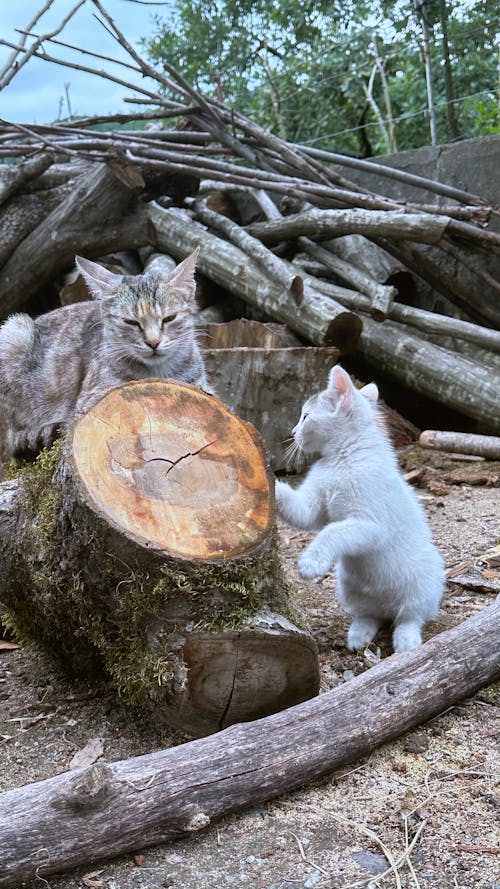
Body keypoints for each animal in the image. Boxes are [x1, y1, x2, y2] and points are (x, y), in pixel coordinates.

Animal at [0, 246, 210, 476]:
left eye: (169, 318)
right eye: (130, 322)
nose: (153, 342)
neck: (158, 372)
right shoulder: (91, 401)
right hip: (14, 331)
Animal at [276, 362, 444, 652]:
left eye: (305, 416)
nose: (293, 433)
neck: (344, 458)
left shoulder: (371, 525)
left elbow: (332, 531)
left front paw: (310, 562)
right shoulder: (313, 508)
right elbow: (302, 513)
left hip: (424, 584)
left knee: (412, 615)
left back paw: (406, 640)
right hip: (349, 587)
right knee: (370, 614)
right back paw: (359, 635)